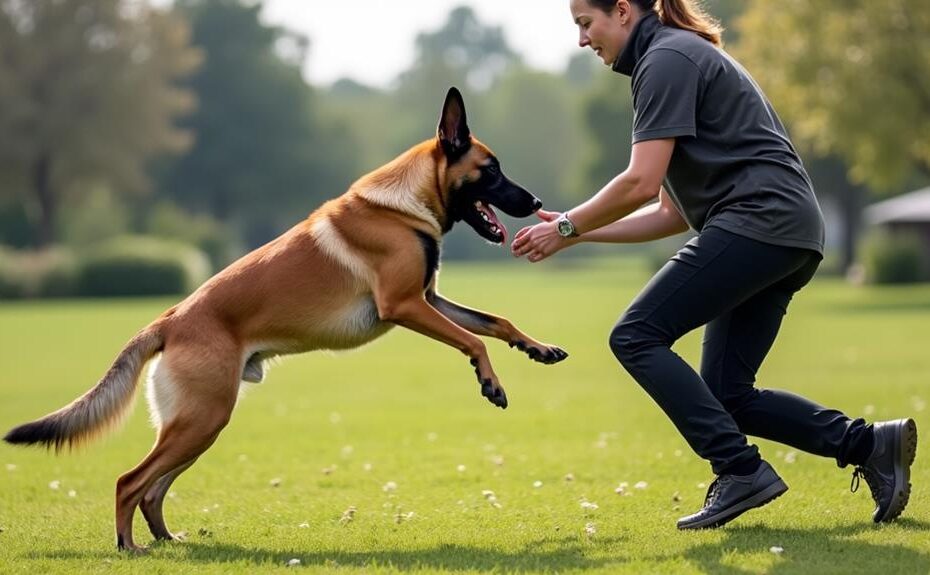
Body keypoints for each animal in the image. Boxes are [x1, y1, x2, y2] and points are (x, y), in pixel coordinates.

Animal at [3, 88, 564, 552]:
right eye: (491, 170)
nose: (537, 202)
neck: (402, 207)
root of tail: (169, 320)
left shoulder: (429, 298)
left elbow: (495, 322)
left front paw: (538, 348)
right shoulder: (406, 305)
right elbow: (475, 341)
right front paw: (490, 383)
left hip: (199, 424)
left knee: (152, 490)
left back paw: (167, 541)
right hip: (201, 419)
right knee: (129, 482)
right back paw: (129, 547)